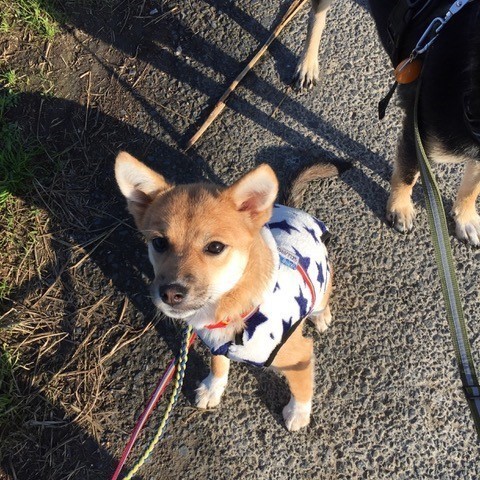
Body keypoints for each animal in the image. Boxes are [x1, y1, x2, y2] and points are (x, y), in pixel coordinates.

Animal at [115, 151, 342, 431]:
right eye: (159, 242)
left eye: (215, 247)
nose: (170, 293)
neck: (232, 309)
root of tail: (297, 212)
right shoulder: (217, 345)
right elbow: (218, 364)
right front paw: (214, 387)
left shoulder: (300, 354)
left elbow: (301, 386)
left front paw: (298, 413)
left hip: (321, 285)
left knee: (323, 301)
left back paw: (321, 316)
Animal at [295, 0, 480, 246]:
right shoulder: (416, 134)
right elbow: (407, 174)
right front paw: (400, 208)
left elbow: (472, 187)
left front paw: (466, 217)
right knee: (317, 15)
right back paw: (307, 64)